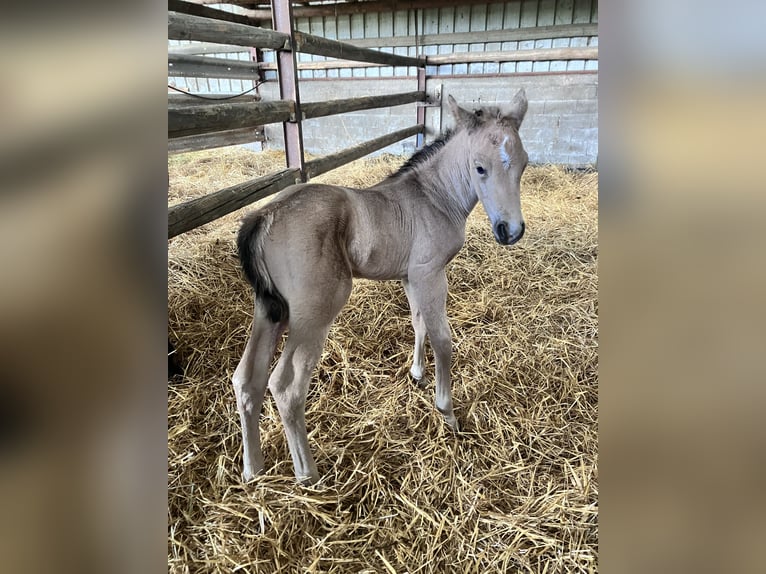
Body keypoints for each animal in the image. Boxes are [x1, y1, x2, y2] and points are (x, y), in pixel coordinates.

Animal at [233, 91, 529, 485]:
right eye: (479, 167)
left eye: (524, 165)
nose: (510, 231)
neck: (434, 197)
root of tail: (263, 215)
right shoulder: (430, 274)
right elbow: (443, 339)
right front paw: (447, 412)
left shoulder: (411, 277)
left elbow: (418, 324)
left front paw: (417, 375)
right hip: (313, 313)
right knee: (285, 385)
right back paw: (308, 474)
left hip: (269, 310)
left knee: (246, 379)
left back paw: (253, 469)